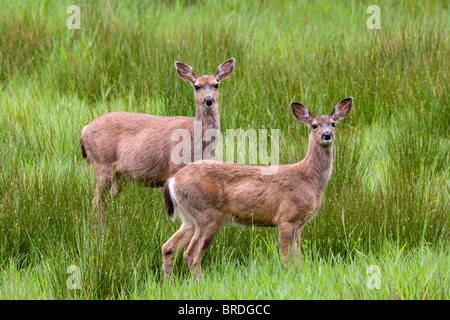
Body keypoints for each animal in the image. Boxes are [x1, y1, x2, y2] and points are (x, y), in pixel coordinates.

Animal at [80, 59, 236, 216]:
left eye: (217, 84)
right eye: (196, 86)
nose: (208, 100)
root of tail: (84, 130)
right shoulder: (175, 167)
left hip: (118, 175)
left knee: (108, 198)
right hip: (102, 162)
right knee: (96, 200)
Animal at [160, 97, 354, 276]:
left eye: (333, 123)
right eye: (314, 125)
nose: (327, 134)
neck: (309, 180)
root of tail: (173, 180)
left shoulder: (299, 224)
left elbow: (298, 259)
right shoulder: (286, 217)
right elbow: (287, 258)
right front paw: (290, 277)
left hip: (189, 217)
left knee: (168, 248)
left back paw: (168, 283)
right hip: (207, 214)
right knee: (191, 254)